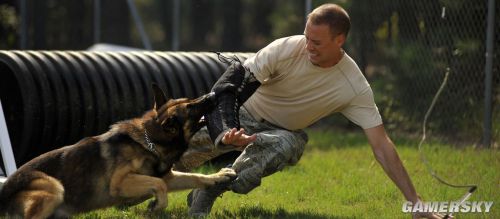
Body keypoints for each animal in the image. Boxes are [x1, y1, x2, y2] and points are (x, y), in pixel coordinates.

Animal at [0, 84, 236, 218]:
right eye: (190, 107)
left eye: (189, 100)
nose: (212, 94)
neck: (151, 142)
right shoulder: (121, 181)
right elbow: (158, 186)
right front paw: (154, 206)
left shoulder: (168, 177)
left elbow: (196, 177)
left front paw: (220, 175)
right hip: (54, 187)